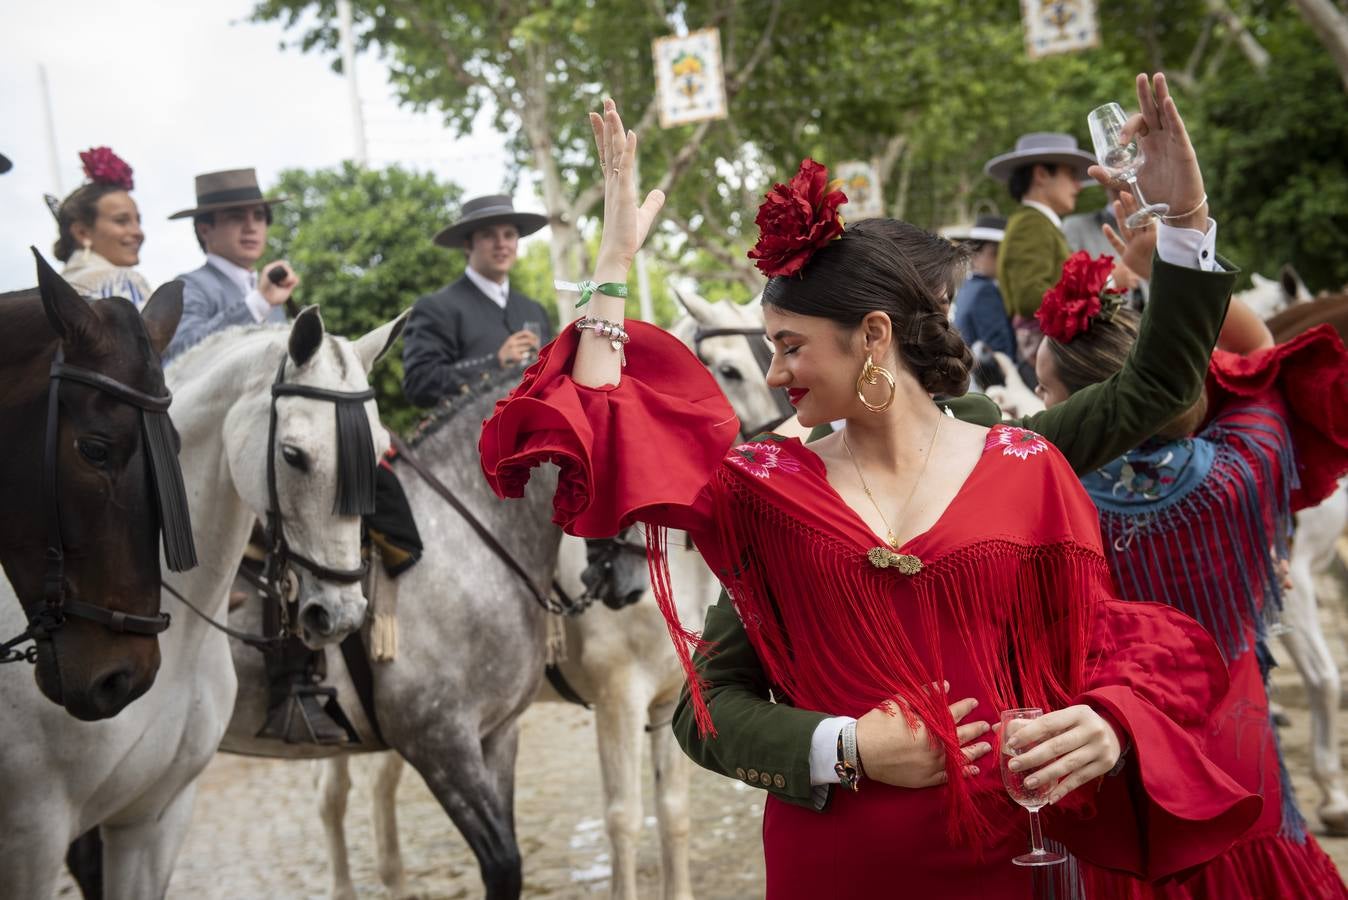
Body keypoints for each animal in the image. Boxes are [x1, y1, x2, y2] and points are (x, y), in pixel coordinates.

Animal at [314, 289, 781, 900]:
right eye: (728, 369)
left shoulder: (668, 700)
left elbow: (674, 816)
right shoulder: (618, 702)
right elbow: (624, 819)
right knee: (345, 797)